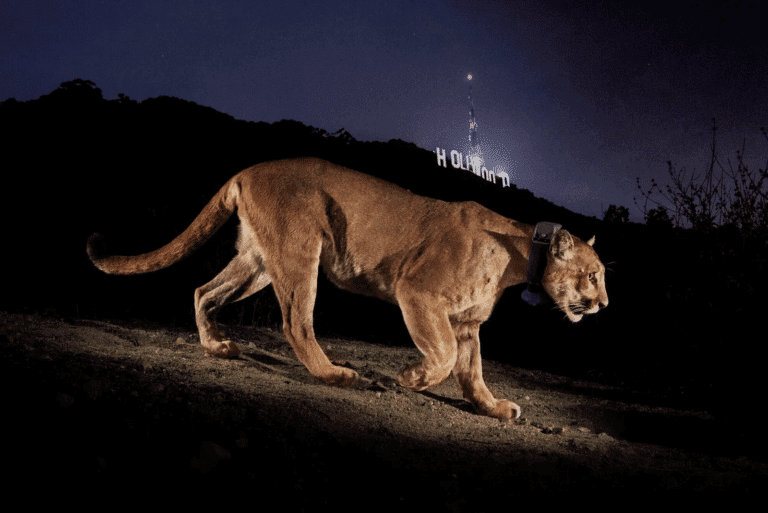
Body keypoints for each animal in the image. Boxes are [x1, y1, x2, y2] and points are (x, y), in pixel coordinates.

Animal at [87, 158, 608, 419]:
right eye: (593, 274)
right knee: (296, 322)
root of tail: (247, 170)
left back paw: (217, 346)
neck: (520, 256)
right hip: (300, 251)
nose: (603, 303)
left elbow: (472, 372)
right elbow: (441, 358)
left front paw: (494, 408)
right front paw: (410, 378)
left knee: (203, 291)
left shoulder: (466, 322)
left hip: (258, 261)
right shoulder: (418, 294)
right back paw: (337, 374)